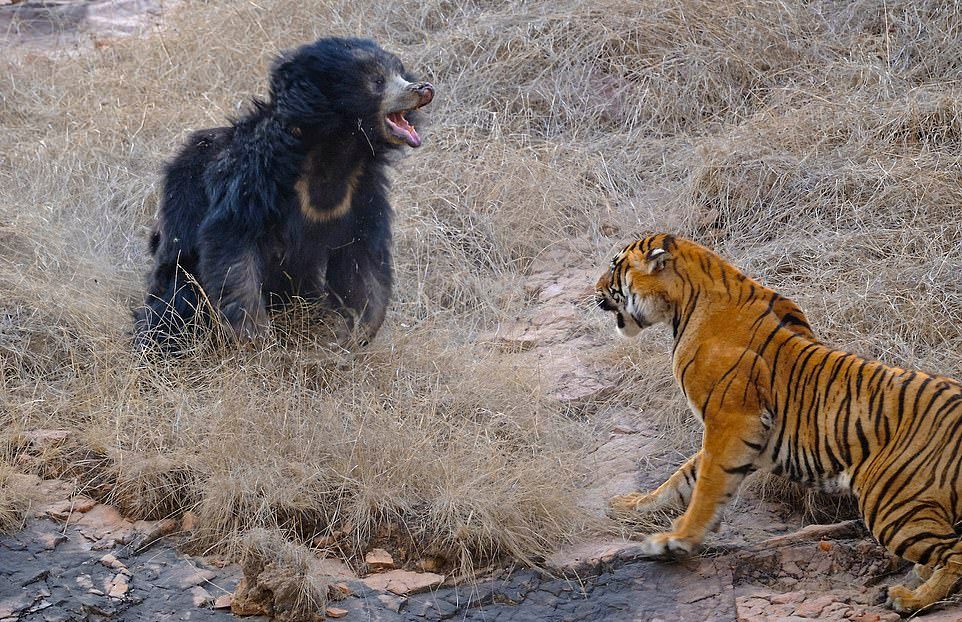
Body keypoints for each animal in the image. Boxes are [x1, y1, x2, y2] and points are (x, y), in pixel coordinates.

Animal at [133, 37, 434, 352]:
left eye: (399, 72)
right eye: (377, 80)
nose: (424, 88)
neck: (336, 151)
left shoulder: (362, 192)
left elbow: (361, 259)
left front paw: (356, 333)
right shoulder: (255, 179)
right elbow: (231, 243)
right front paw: (255, 337)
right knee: (177, 302)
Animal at [592, 236, 960, 616]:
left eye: (615, 267)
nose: (594, 289)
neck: (684, 302)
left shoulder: (732, 422)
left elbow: (706, 485)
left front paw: (675, 540)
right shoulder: (742, 435)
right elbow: (682, 479)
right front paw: (632, 505)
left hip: (890, 503)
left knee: (955, 554)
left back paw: (911, 598)